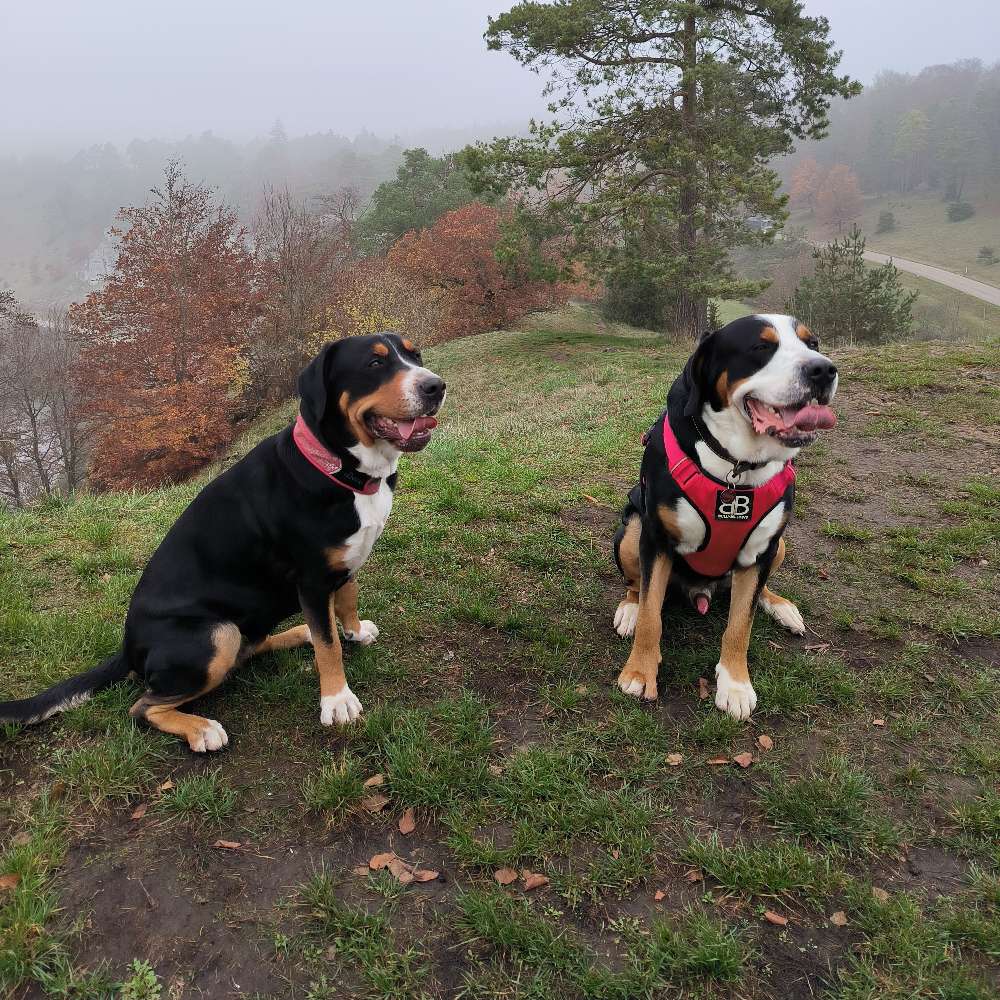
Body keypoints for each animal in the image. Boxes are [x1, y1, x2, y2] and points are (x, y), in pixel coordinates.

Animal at [0, 336, 446, 752]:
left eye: (415, 355)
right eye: (374, 364)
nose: (435, 386)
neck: (339, 468)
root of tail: (128, 647)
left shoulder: (344, 564)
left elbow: (347, 601)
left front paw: (353, 631)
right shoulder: (313, 579)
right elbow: (328, 647)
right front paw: (336, 700)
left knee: (253, 646)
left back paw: (296, 632)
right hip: (216, 634)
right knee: (143, 705)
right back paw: (200, 729)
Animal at [612, 312, 840, 720]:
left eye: (812, 343)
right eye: (761, 346)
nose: (824, 369)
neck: (738, 466)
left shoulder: (761, 549)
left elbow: (740, 626)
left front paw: (734, 684)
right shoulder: (655, 538)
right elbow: (652, 616)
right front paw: (638, 673)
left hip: (780, 545)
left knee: (756, 591)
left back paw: (781, 607)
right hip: (632, 530)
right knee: (637, 587)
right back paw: (629, 609)